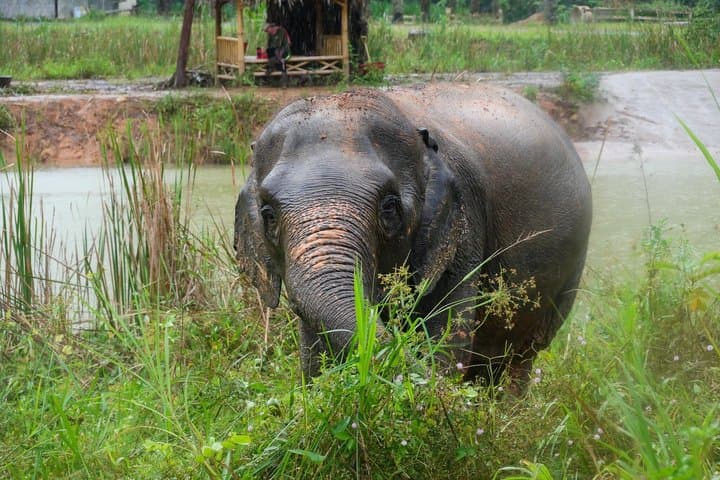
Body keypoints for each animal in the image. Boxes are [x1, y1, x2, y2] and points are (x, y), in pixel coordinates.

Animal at [234, 83, 592, 391]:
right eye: (268, 214)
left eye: (389, 207)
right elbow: (314, 353)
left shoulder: (463, 229)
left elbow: (443, 340)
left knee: (521, 357)